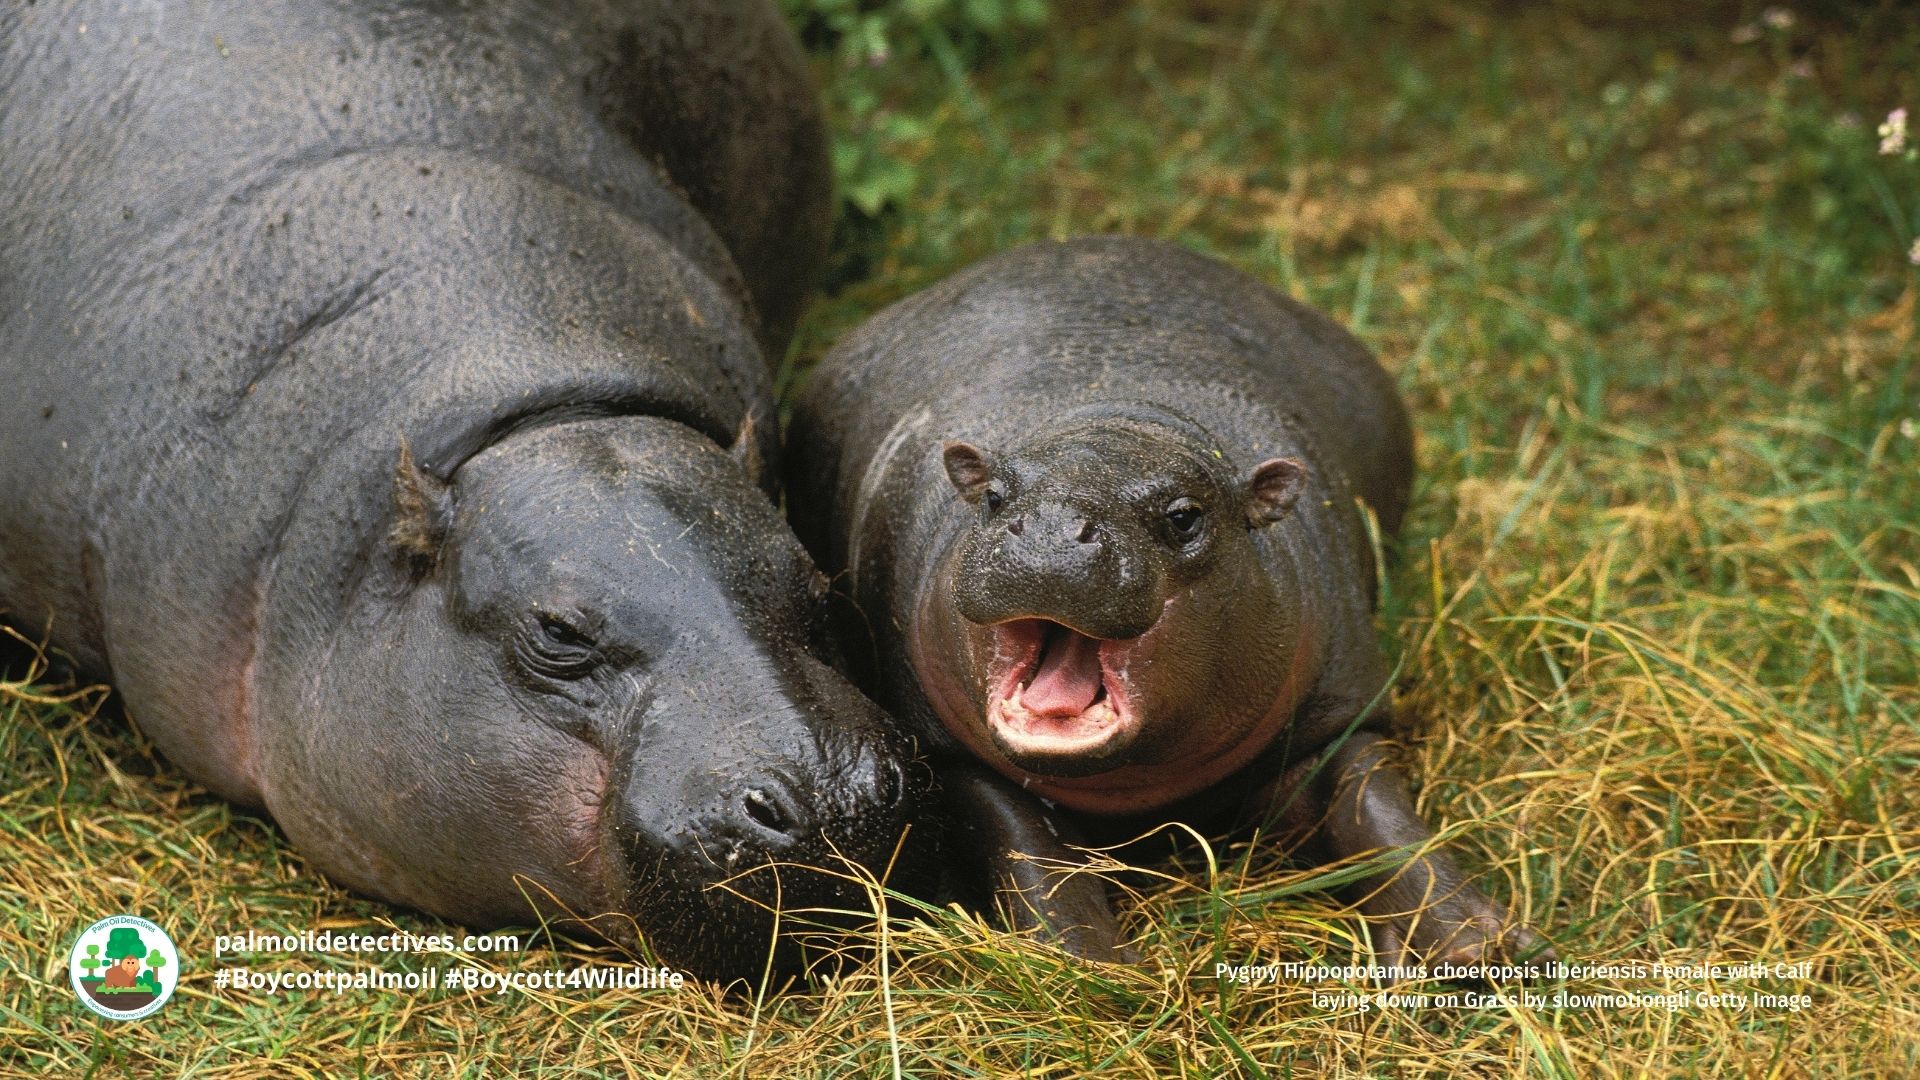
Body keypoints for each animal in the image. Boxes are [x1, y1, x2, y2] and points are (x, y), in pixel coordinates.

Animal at [787, 237, 1550, 967]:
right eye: (995, 496)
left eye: (1186, 515)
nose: (1052, 526)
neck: (1116, 421)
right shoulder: (952, 752)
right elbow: (1025, 845)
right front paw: (1090, 964)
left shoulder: (1341, 706)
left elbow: (1377, 806)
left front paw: (1479, 944)